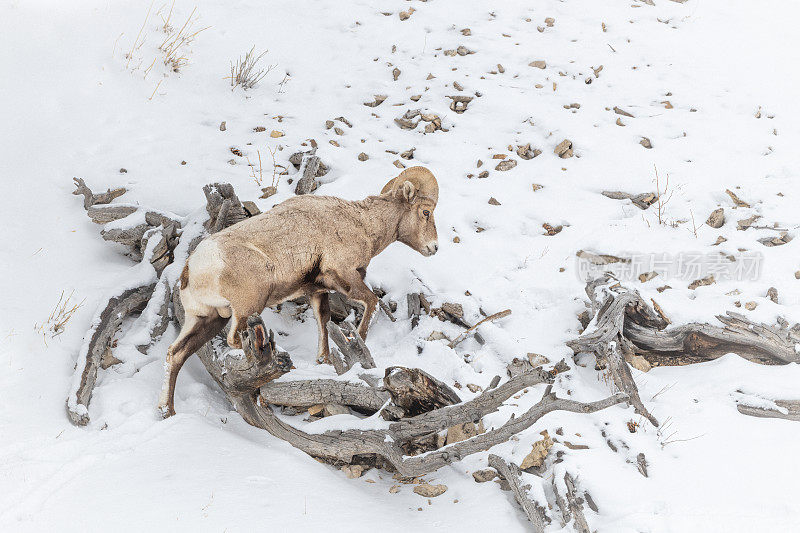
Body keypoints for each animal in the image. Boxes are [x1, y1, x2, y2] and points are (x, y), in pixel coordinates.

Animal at [157, 166, 440, 416]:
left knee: (176, 354)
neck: (361, 224)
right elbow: (371, 304)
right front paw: (357, 344)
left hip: (207, 319)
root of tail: (192, 269)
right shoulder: (343, 275)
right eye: (425, 212)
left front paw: (323, 361)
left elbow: (323, 321)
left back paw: (167, 410)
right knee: (234, 340)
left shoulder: (317, 291)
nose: (434, 248)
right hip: (246, 308)